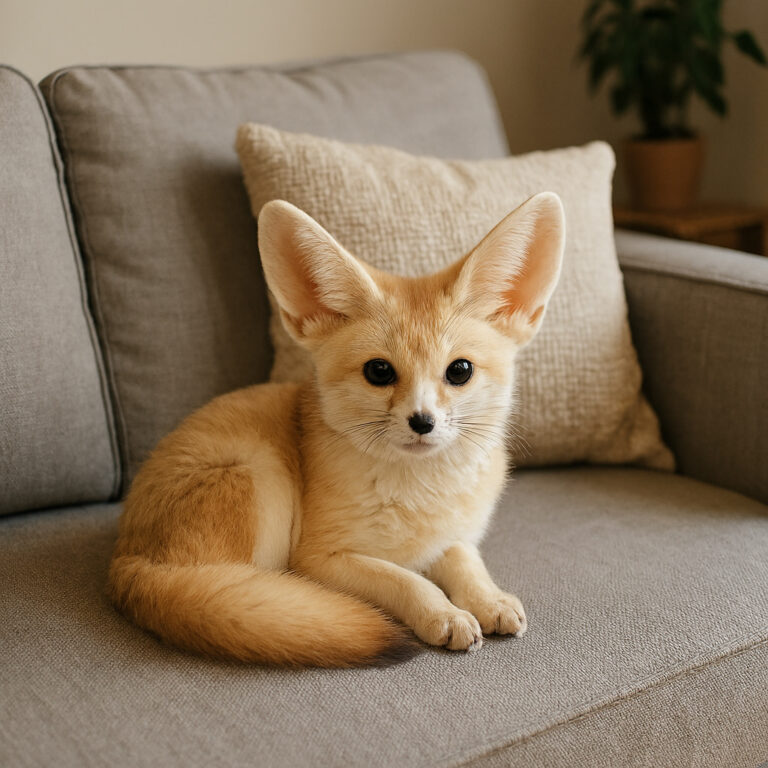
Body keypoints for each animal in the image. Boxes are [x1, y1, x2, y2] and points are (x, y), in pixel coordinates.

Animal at [107, 191, 565, 667]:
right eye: (379, 371)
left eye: (459, 371)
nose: (422, 422)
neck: (420, 494)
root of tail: (128, 564)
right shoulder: (318, 559)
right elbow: (406, 580)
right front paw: (443, 612)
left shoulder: (450, 538)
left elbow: (465, 562)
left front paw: (489, 599)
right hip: (262, 478)